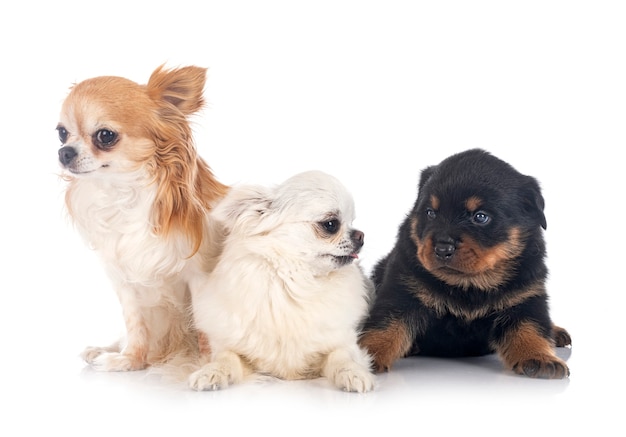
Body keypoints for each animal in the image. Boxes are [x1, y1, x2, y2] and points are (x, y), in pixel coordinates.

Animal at [189, 170, 376, 392]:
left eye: (352, 221)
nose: (361, 235)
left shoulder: (343, 342)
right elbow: (226, 357)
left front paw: (353, 373)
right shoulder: (230, 346)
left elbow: (341, 356)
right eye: (331, 225)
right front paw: (211, 372)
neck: (297, 283)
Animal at [360, 148, 572, 376]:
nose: (443, 248)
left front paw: (540, 357)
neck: (469, 284)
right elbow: (384, 326)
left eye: (480, 217)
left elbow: (531, 328)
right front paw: (362, 356)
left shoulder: (525, 296)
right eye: (430, 213)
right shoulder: (402, 290)